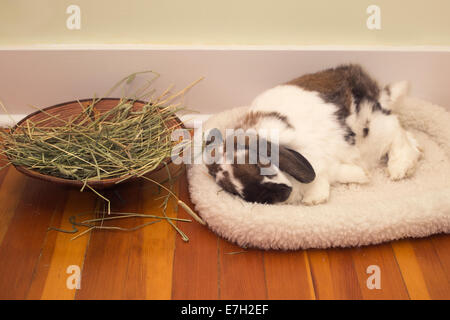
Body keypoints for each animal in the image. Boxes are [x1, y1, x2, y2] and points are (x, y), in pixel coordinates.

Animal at [205, 64, 422, 205]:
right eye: (239, 193)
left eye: (261, 164)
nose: (284, 192)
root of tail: (376, 92)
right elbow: (332, 173)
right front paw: (360, 176)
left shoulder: (316, 156)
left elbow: (321, 174)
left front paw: (315, 198)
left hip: (371, 128)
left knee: (396, 132)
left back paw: (399, 169)